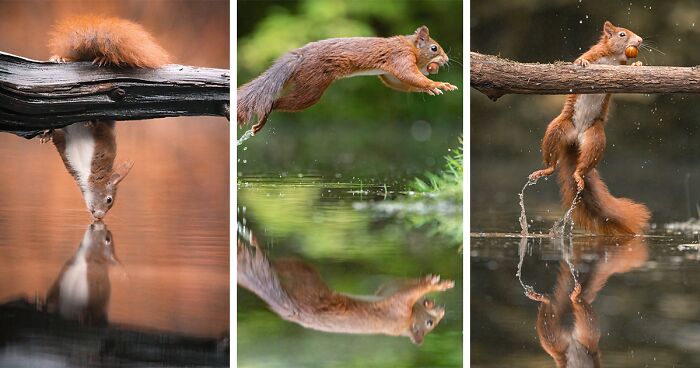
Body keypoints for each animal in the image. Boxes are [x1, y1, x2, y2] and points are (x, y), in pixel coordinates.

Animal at [42, 15, 171, 218]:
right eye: (109, 200)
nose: (99, 216)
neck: (88, 174)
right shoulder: (78, 144)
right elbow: (64, 133)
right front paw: (46, 133)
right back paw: (61, 58)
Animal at [235, 233, 454, 344]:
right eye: (429, 323)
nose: (442, 312)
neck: (406, 325)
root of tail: (289, 308)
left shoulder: (387, 291)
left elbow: (394, 284)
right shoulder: (397, 310)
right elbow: (407, 292)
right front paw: (436, 284)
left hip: (302, 275)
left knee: (281, 264)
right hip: (306, 282)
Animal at [238, 26, 456, 135]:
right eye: (434, 48)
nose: (446, 60)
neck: (410, 45)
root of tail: (299, 56)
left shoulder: (389, 74)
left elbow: (398, 82)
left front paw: (430, 88)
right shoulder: (399, 56)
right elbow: (408, 74)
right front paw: (437, 85)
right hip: (312, 86)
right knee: (276, 102)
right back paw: (264, 117)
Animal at [532, 20, 652, 233]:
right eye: (622, 34)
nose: (639, 40)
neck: (612, 57)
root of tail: (575, 139)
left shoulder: (621, 67)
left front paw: (638, 64)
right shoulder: (594, 52)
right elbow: (580, 60)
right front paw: (582, 63)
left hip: (595, 138)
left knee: (584, 163)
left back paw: (578, 175)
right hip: (558, 128)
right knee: (552, 161)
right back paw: (546, 169)